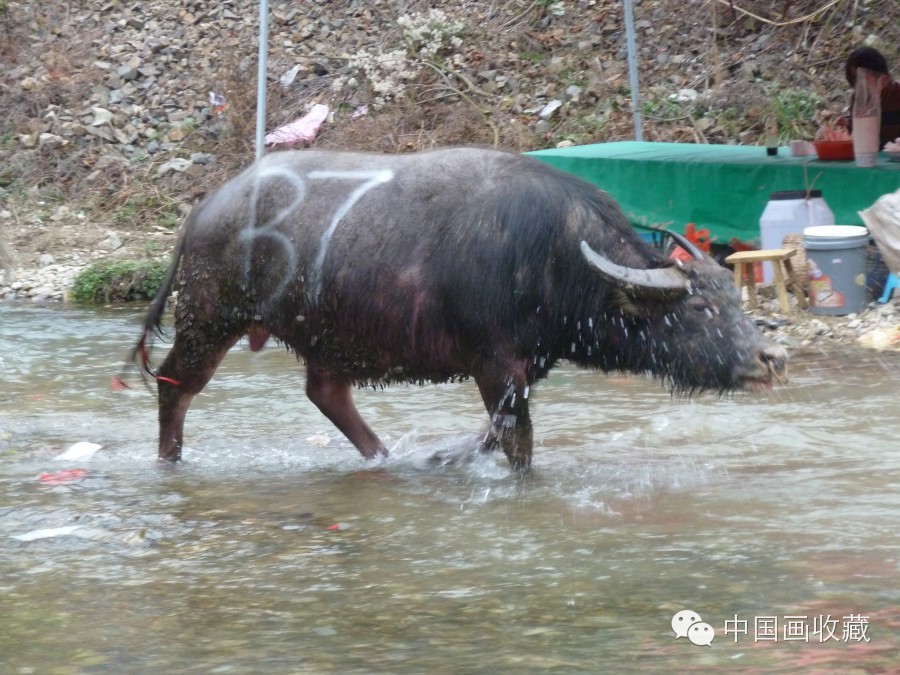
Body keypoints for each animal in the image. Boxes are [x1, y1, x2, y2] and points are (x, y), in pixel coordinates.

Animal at [135, 147, 788, 470]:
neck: (556, 260)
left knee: (327, 394)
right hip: (209, 317)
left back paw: (385, 459)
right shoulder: (493, 363)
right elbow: (517, 443)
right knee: (176, 386)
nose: (772, 358)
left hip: (325, 335)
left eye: (734, 299)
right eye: (699, 310)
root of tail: (204, 211)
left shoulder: (523, 368)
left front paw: (444, 456)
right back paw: (169, 464)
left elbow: (495, 433)